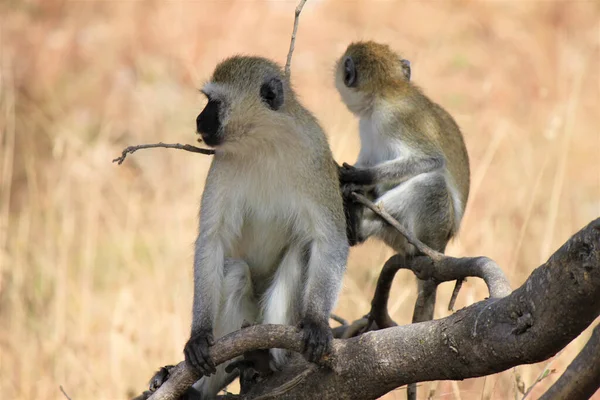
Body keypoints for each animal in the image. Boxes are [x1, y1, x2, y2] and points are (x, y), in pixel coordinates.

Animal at [178, 55, 346, 396]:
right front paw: (199, 334)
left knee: (299, 253)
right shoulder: (222, 162)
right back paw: (203, 386)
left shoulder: (316, 154)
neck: (264, 141)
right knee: (235, 272)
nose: (199, 120)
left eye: (214, 103)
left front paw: (317, 322)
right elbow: (212, 240)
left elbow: (330, 239)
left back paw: (267, 360)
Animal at [336, 40, 472, 322]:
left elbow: (430, 160)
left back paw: (362, 224)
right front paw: (350, 184)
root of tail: (440, 247)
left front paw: (357, 176)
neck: (386, 90)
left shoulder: (396, 118)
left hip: (430, 230)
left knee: (433, 185)